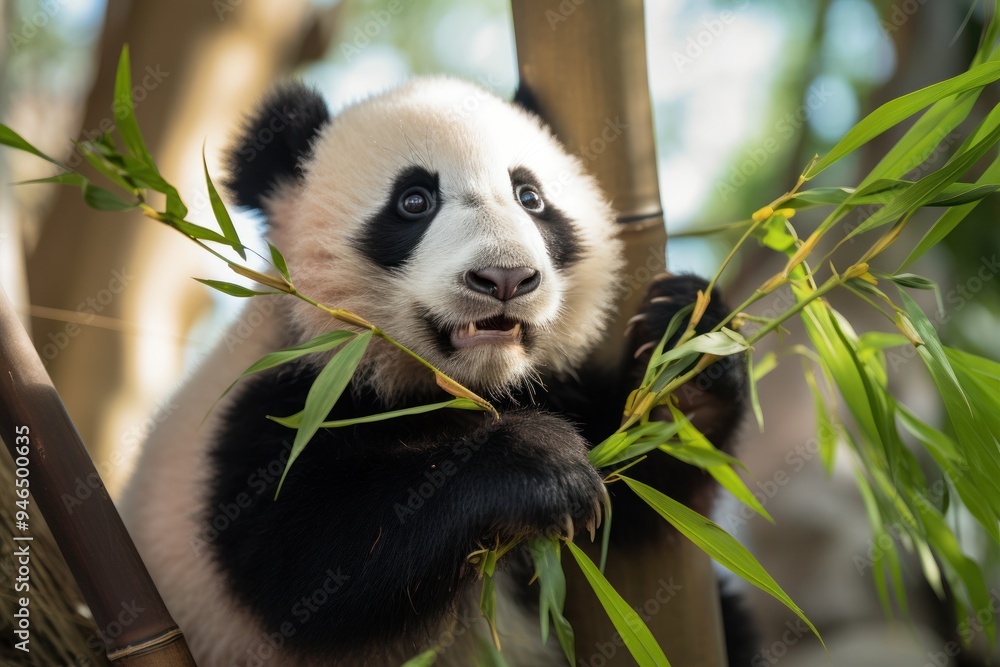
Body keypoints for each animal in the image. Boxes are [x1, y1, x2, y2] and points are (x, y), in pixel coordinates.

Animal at [120, 76, 749, 666]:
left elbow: (643, 483)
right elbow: (309, 562)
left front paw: (688, 345)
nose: (505, 278)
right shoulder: (276, 405)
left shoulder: (549, 388)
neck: (454, 387)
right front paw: (540, 463)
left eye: (530, 196)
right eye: (414, 201)